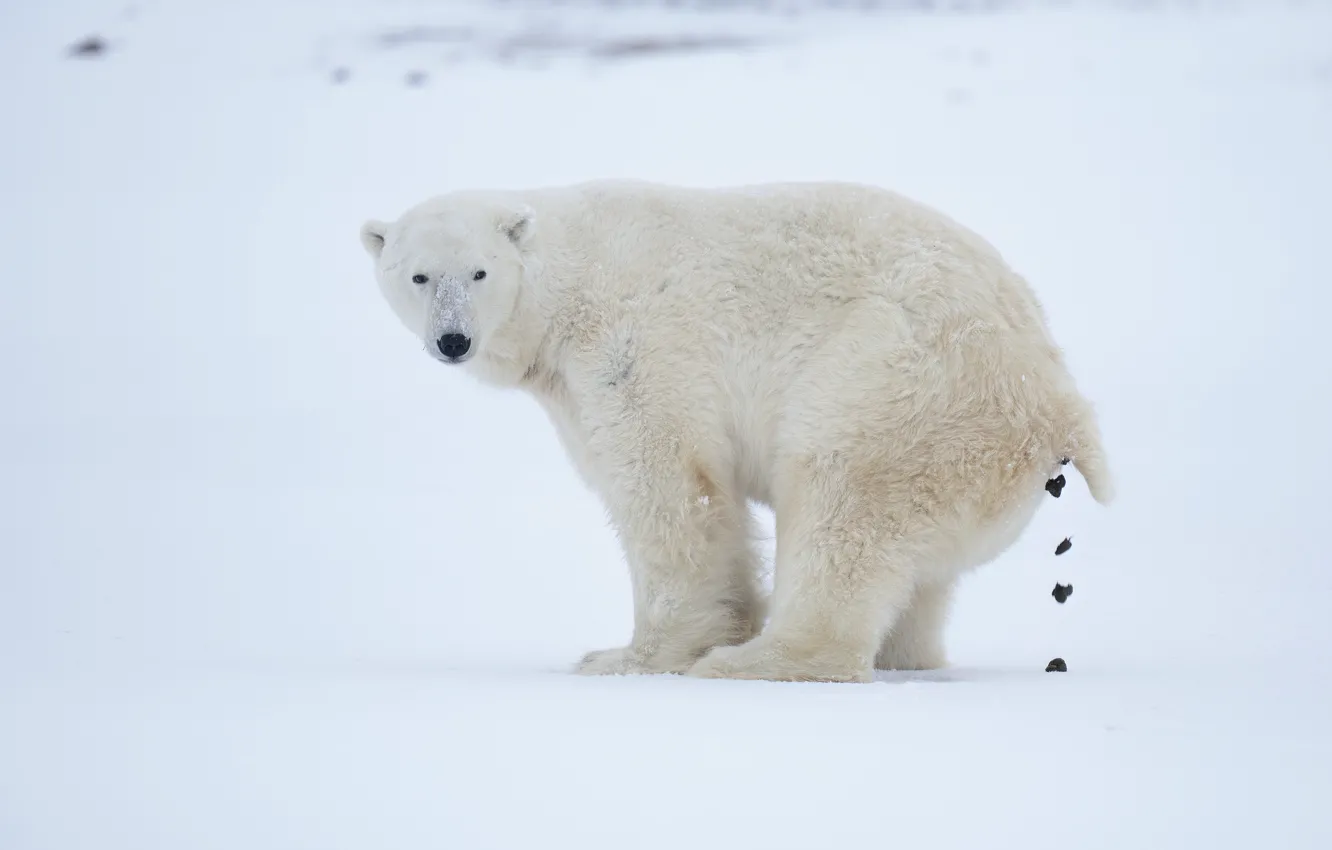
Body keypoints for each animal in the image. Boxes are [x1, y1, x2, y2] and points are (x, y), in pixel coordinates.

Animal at [359, 179, 1113, 683]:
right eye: (418, 275)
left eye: (479, 271)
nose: (453, 340)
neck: (567, 285)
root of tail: (1059, 401)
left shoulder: (635, 347)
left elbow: (670, 485)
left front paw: (630, 656)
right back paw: (906, 656)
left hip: (901, 384)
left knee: (840, 503)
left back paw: (752, 659)